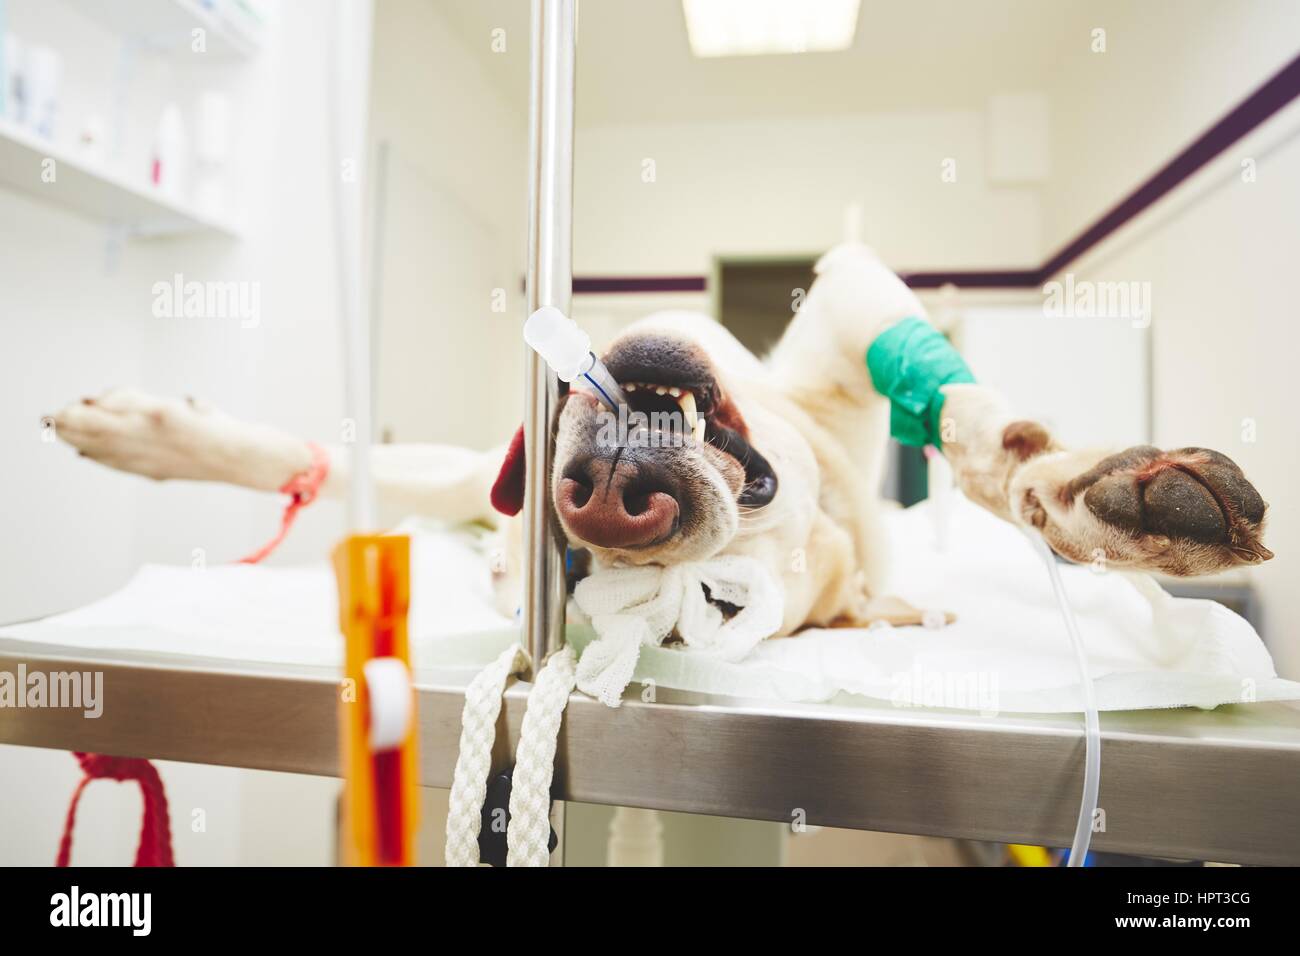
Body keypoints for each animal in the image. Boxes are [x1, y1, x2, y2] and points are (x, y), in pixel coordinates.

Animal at [50, 247, 1268, 634]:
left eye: (720, 607)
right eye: (570, 562)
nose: (608, 504)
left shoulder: (848, 308)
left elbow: (975, 435)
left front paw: (1085, 492)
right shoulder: (476, 471)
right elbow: (338, 458)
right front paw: (147, 431)